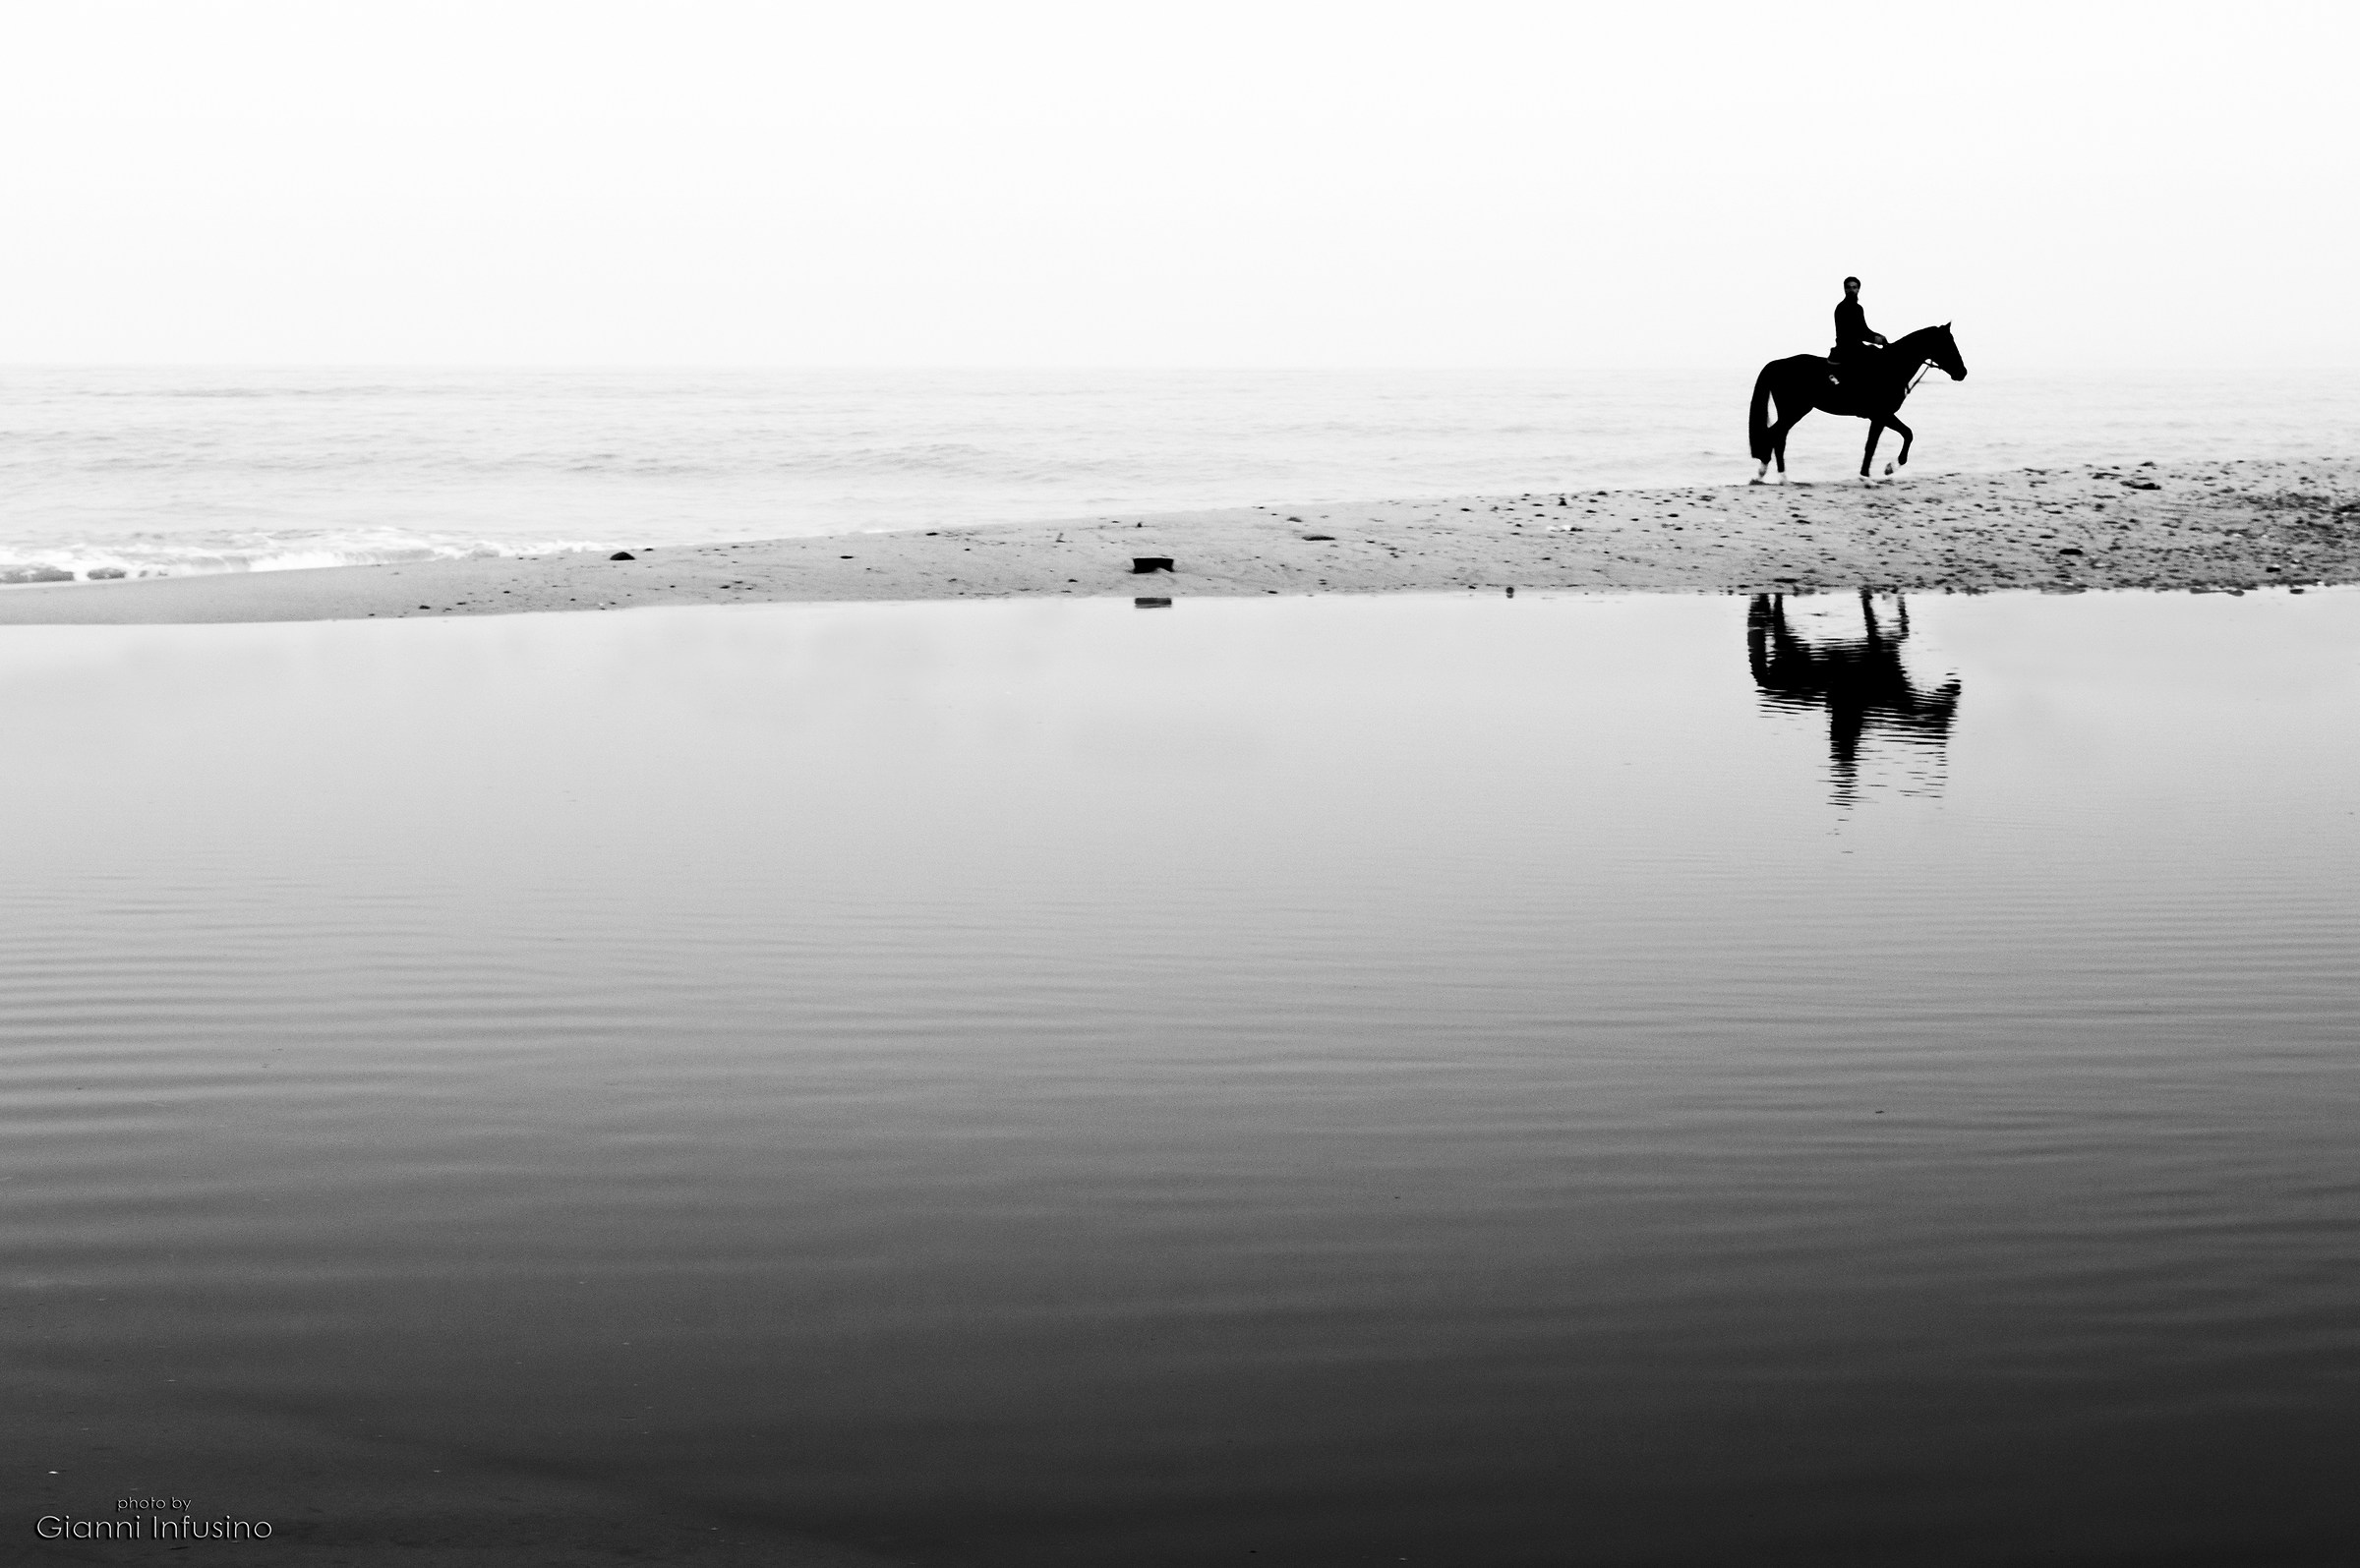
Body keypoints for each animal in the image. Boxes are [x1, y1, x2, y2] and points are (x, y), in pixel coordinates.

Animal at [1747, 324, 1967, 484]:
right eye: (1948, 345)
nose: (1962, 372)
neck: (1891, 367)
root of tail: (1777, 364)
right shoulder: (1882, 414)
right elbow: (1901, 436)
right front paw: (1885, 470)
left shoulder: (1880, 417)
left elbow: (1877, 443)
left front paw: (1870, 474)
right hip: (1794, 411)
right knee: (1776, 436)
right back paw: (1773, 475)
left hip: (1793, 411)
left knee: (1778, 436)